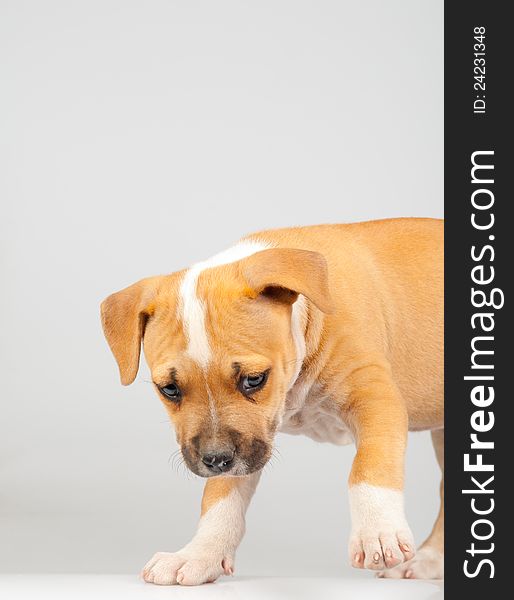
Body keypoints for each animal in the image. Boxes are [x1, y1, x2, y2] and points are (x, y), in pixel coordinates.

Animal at [101, 218, 444, 584]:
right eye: (169, 389)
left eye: (254, 380)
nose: (216, 460)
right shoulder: (244, 444)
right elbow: (220, 500)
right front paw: (198, 554)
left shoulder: (375, 398)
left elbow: (368, 467)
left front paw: (377, 534)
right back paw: (429, 562)